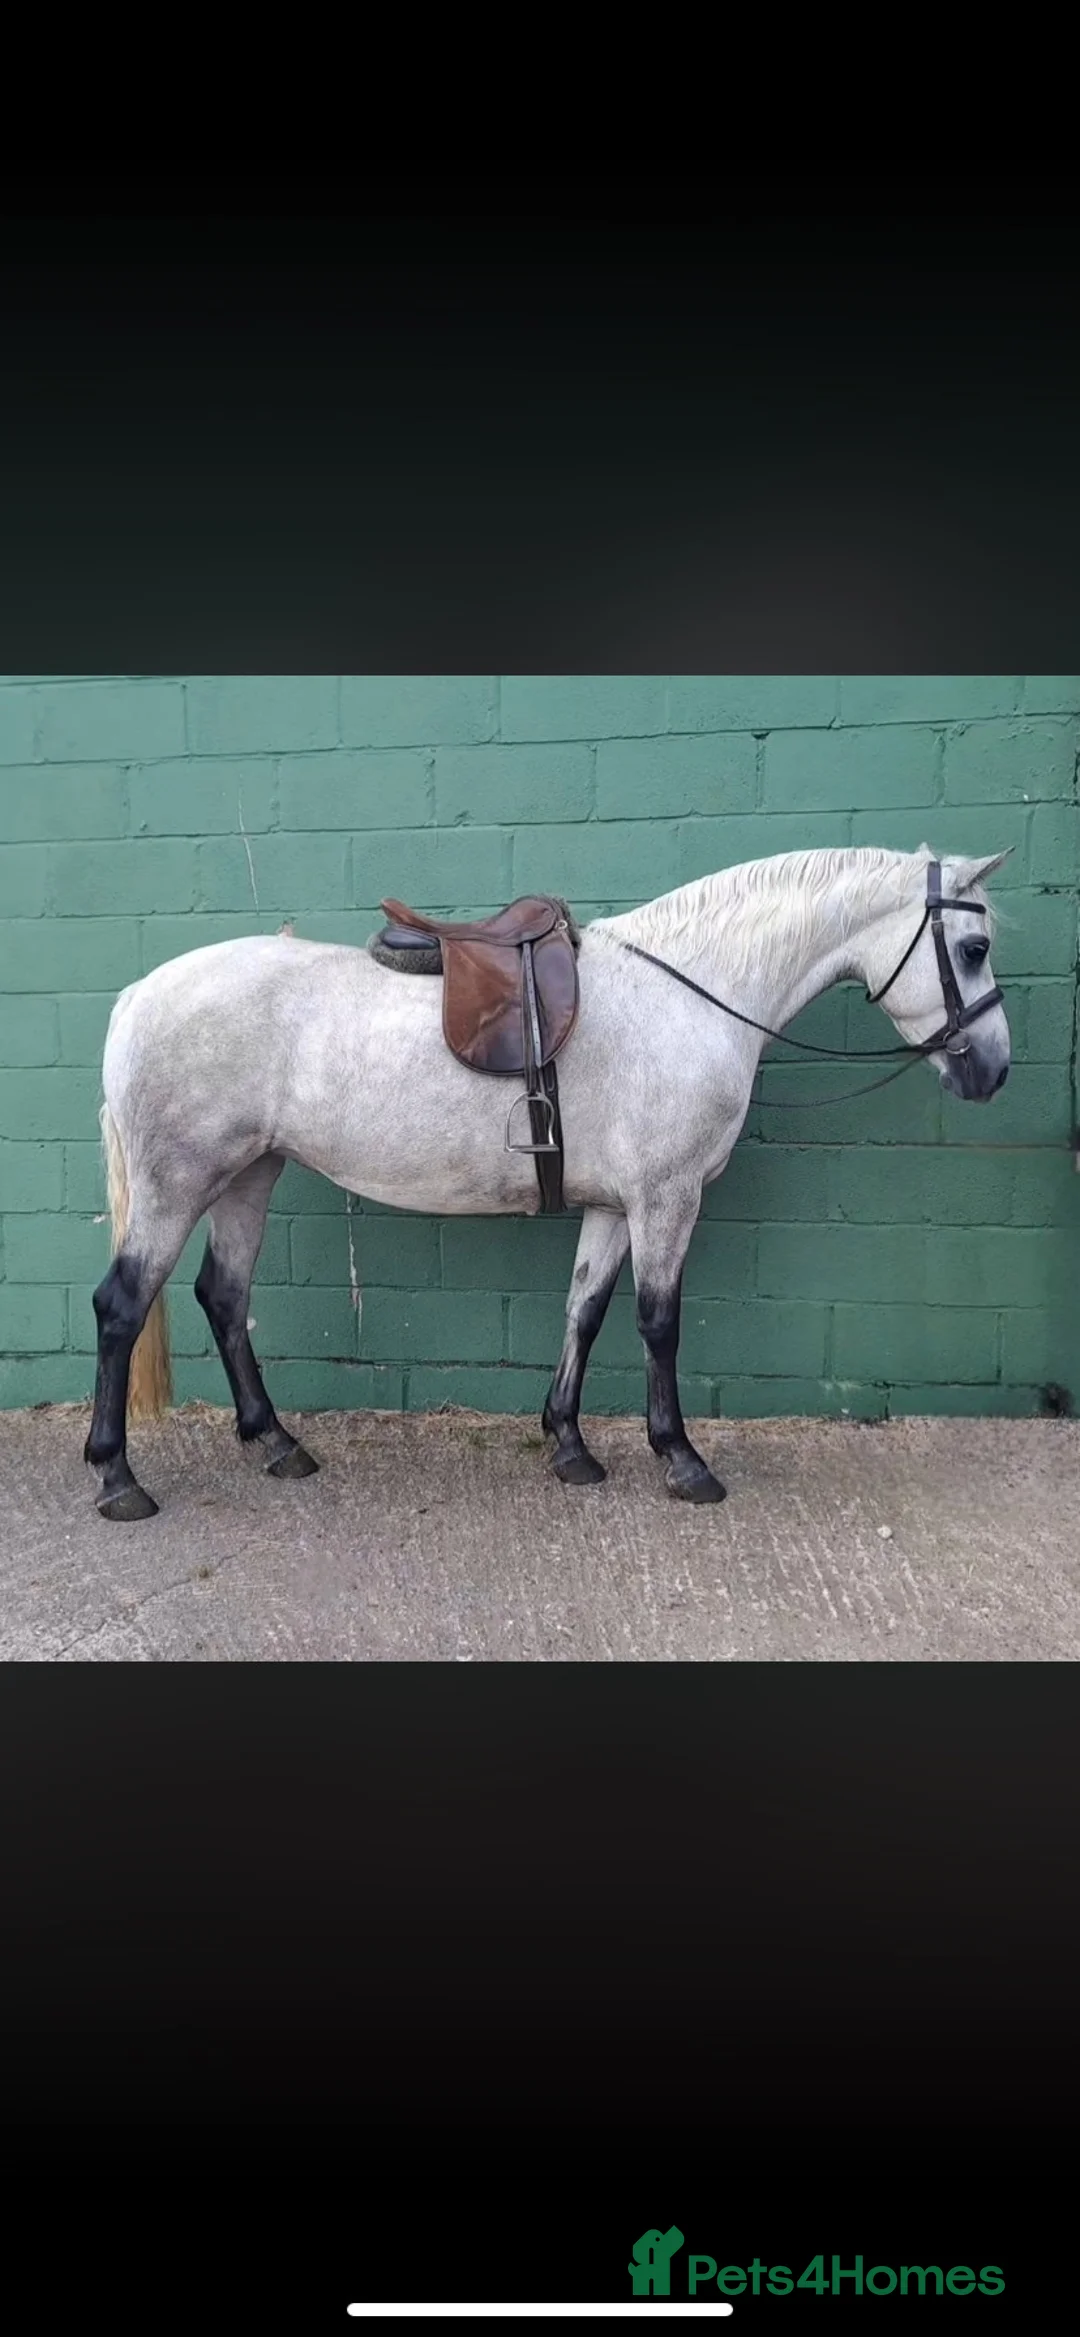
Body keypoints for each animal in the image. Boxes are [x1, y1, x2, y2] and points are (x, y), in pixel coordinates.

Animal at [84, 842, 1012, 1521]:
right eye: (973, 948)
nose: (992, 1071)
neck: (690, 994)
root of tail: (136, 995)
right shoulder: (667, 1198)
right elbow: (659, 1323)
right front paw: (681, 1459)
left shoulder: (614, 1205)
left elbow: (585, 1309)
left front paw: (569, 1444)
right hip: (180, 1183)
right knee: (122, 1306)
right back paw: (117, 1478)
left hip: (250, 1173)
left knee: (224, 1295)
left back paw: (276, 1443)